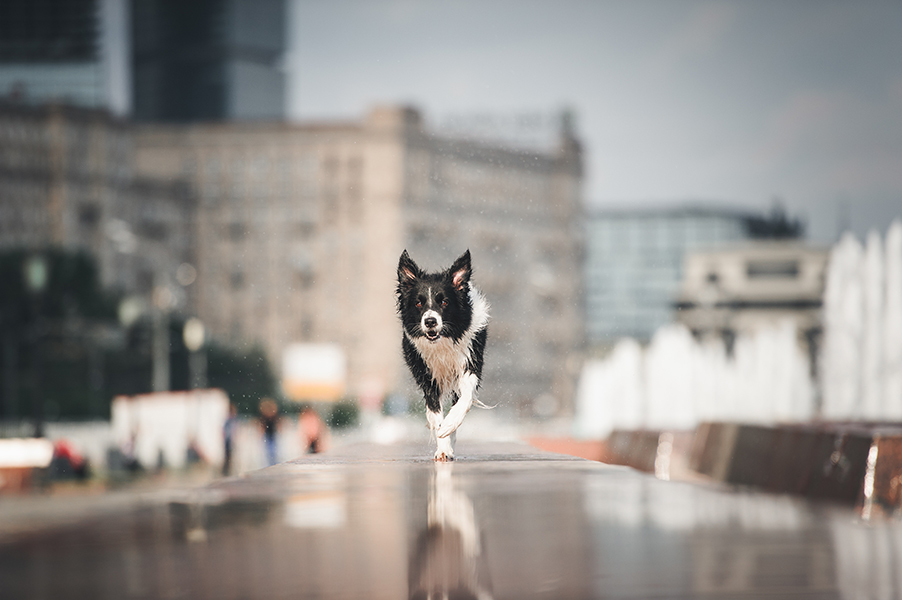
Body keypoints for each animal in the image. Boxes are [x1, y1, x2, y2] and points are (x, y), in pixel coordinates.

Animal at [398, 248, 490, 460]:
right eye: (418, 303)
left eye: (445, 302)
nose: (430, 321)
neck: (443, 342)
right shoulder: (427, 377)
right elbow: (435, 412)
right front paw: (443, 447)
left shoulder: (470, 362)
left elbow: (465, 398)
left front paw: (450, 424)